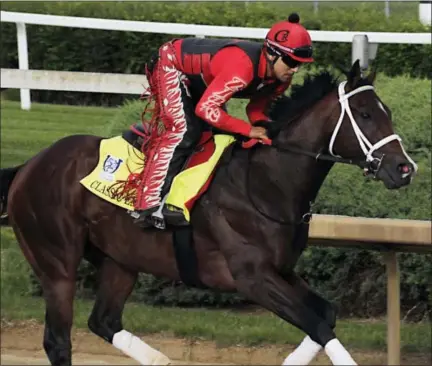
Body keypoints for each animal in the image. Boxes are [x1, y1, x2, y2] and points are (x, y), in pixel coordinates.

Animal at [0, 60, 418, 366]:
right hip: (57, 263)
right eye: (364, 114)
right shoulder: (252, 278)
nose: (404, 168)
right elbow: (317, 324)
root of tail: (28, 166)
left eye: (387, 111)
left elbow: (326, 315)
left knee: (103, 321)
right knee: (58, 340)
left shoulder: (281, 270)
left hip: (119, 260)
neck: (263, 184)